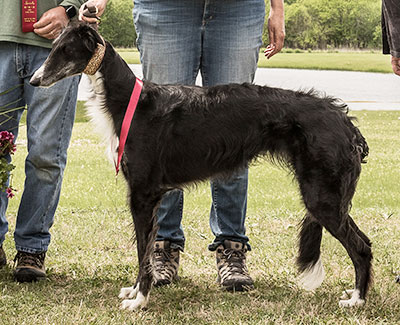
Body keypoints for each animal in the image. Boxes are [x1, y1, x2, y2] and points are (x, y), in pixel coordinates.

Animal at [31, 22, 372, 308]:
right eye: (53, 46)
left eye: (65, 49)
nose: (35, 80)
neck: (130, 101)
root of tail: (345, 121)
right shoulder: (149, 195)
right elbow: (146, 249)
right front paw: (135, 291)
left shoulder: (142, 194)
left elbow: (143, 251)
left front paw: (140, 300)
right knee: (363, 242)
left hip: (321, 196)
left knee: (362, 246)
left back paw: (357, 300)